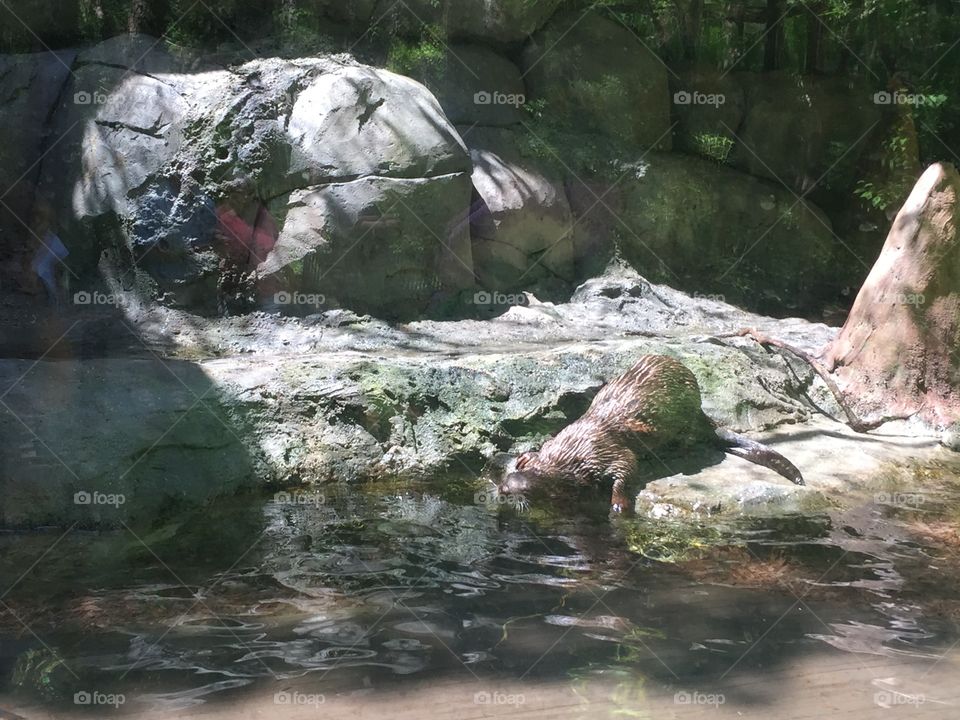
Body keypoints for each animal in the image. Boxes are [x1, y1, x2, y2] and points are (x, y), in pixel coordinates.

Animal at [498, 354, 808, 512]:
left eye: (524, 489)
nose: (502, 490)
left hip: (684, 418)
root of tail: (700, 411)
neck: (571, 455)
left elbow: (626, 470)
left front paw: (618, 505)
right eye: (507, 477)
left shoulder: (605, 452)